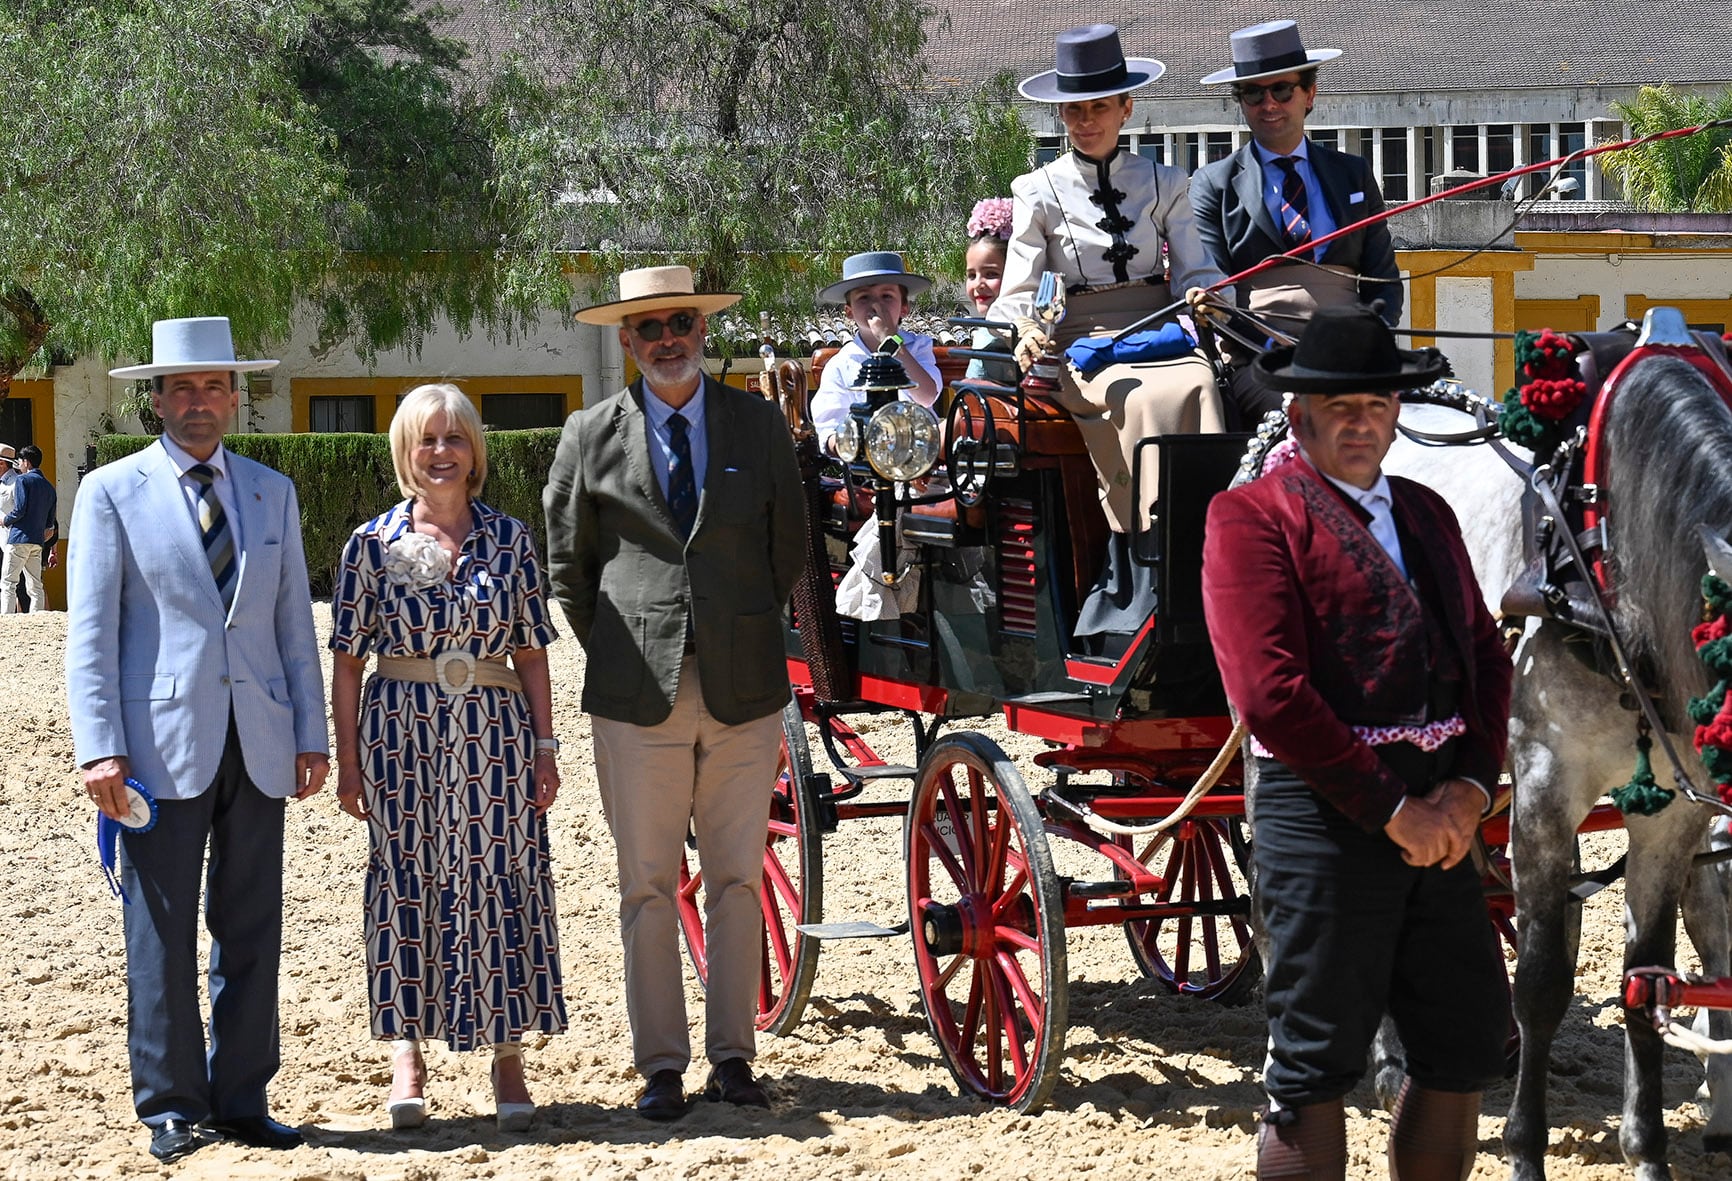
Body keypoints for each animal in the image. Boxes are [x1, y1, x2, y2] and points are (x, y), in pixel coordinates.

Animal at [1378, 354, 1732, 1170]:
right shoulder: (1542, 789)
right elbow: (1539, 985)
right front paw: (1522, 1151)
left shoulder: (1672, 814)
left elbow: (1647, 983)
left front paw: (1647, 1152)